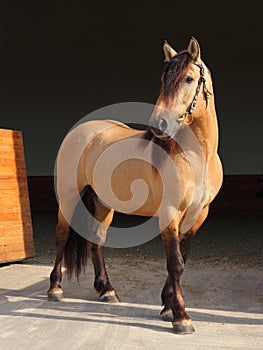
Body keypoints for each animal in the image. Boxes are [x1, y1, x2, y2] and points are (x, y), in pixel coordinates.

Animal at [47, 37, 223, 334]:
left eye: (189, 78)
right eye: (163, 79)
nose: (159, 125)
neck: (198, 157)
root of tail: (80, 131)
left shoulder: (198, 215)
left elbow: (182, 259)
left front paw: (166, 306)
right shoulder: (170, 213)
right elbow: (175, 263)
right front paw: (181, 318)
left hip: (103, 203)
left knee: (97, 240)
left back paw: (106, 290)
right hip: (70, 197)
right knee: (62, 235)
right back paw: (55, 289)